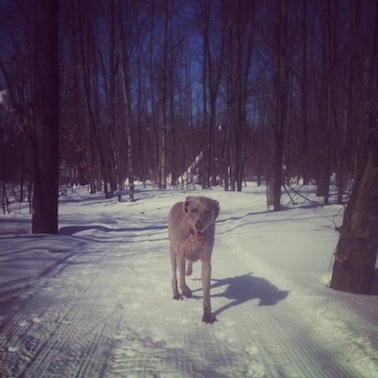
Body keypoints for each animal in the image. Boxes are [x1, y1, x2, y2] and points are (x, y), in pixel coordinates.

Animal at [168, 196, 219, 324]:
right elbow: (181, 279)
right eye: (193, 210)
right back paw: (176, 293)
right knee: (174, 274)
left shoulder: (206, 261)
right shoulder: (181, 254)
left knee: (189, 264)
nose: (199, 224)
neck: (194, 239)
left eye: (208, 211)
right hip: (172, 251)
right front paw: (187, 292)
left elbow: (206, 290)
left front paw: (207, 314)